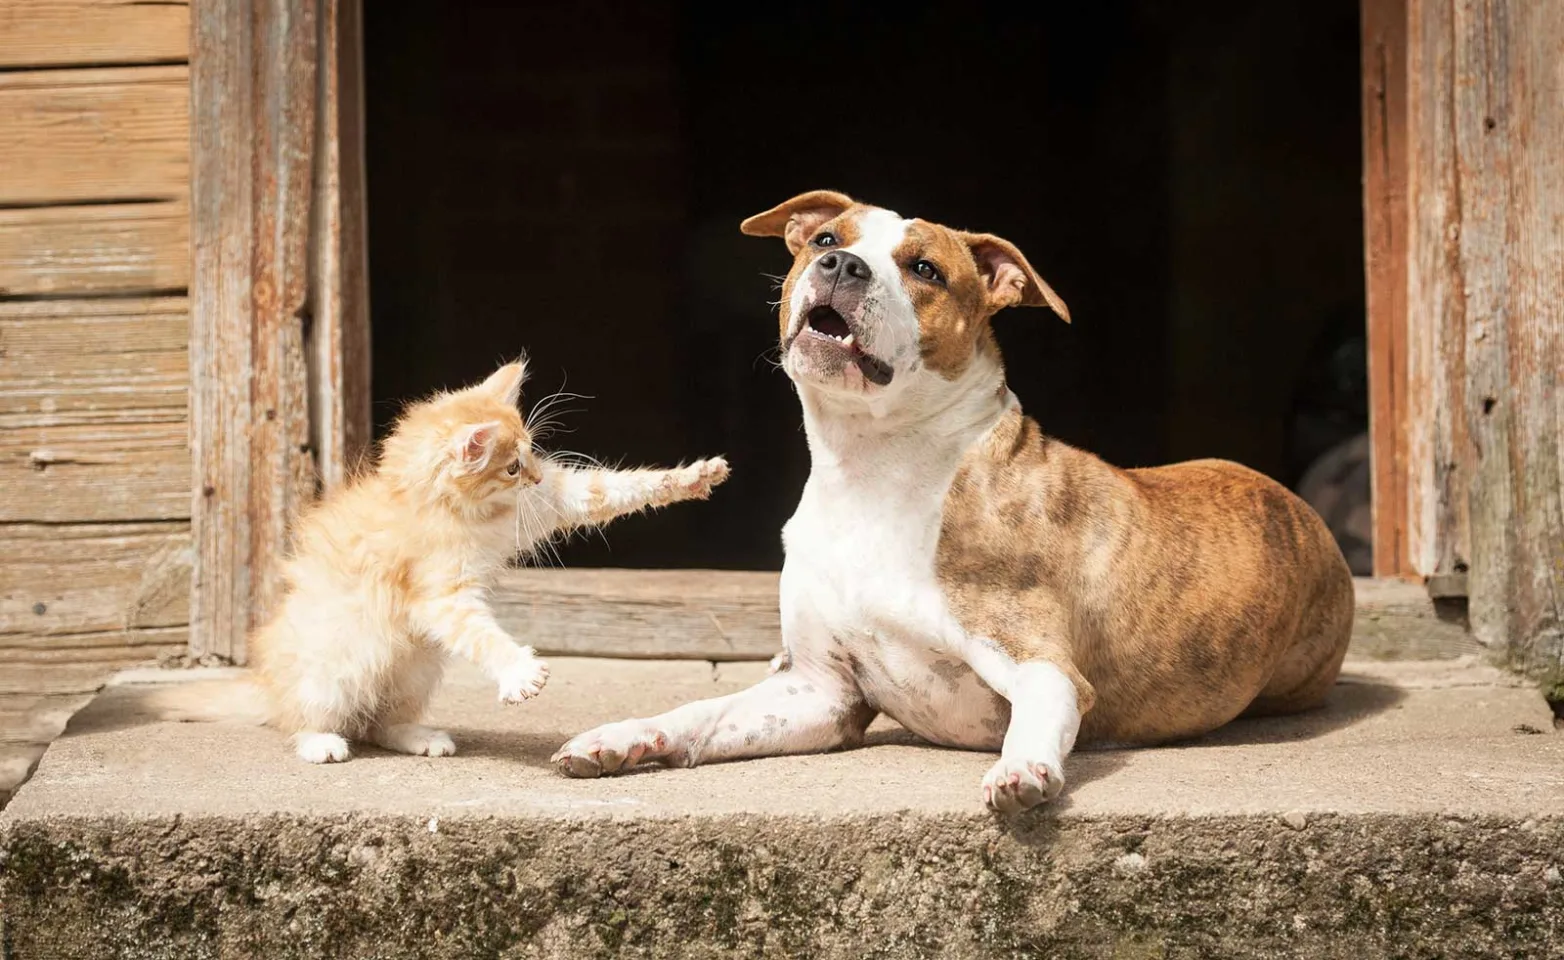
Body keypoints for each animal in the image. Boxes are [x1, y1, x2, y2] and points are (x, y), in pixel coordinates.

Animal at [155, 361, 728, 766]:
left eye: (532, 453)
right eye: (512, 466)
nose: (537, 477)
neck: (468, 513)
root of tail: (268, 687)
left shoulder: (543, 506)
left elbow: (610, 488)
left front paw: (693, 476)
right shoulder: (439, 596)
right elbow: (483, 636)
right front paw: (521, 673)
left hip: (415, 666)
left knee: (380, 723)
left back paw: (421, 737)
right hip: (333, 669)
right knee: (310, 717)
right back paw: (320, 743)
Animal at [553, 188, 1357, 813]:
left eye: (925, 269)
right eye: (826, 239)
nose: (842, 266)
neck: (872, 468)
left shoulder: (1039, 664)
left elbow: (1036, 716)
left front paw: (1023, 770)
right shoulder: (819, 691)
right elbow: (706, 712)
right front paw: (626, 736)